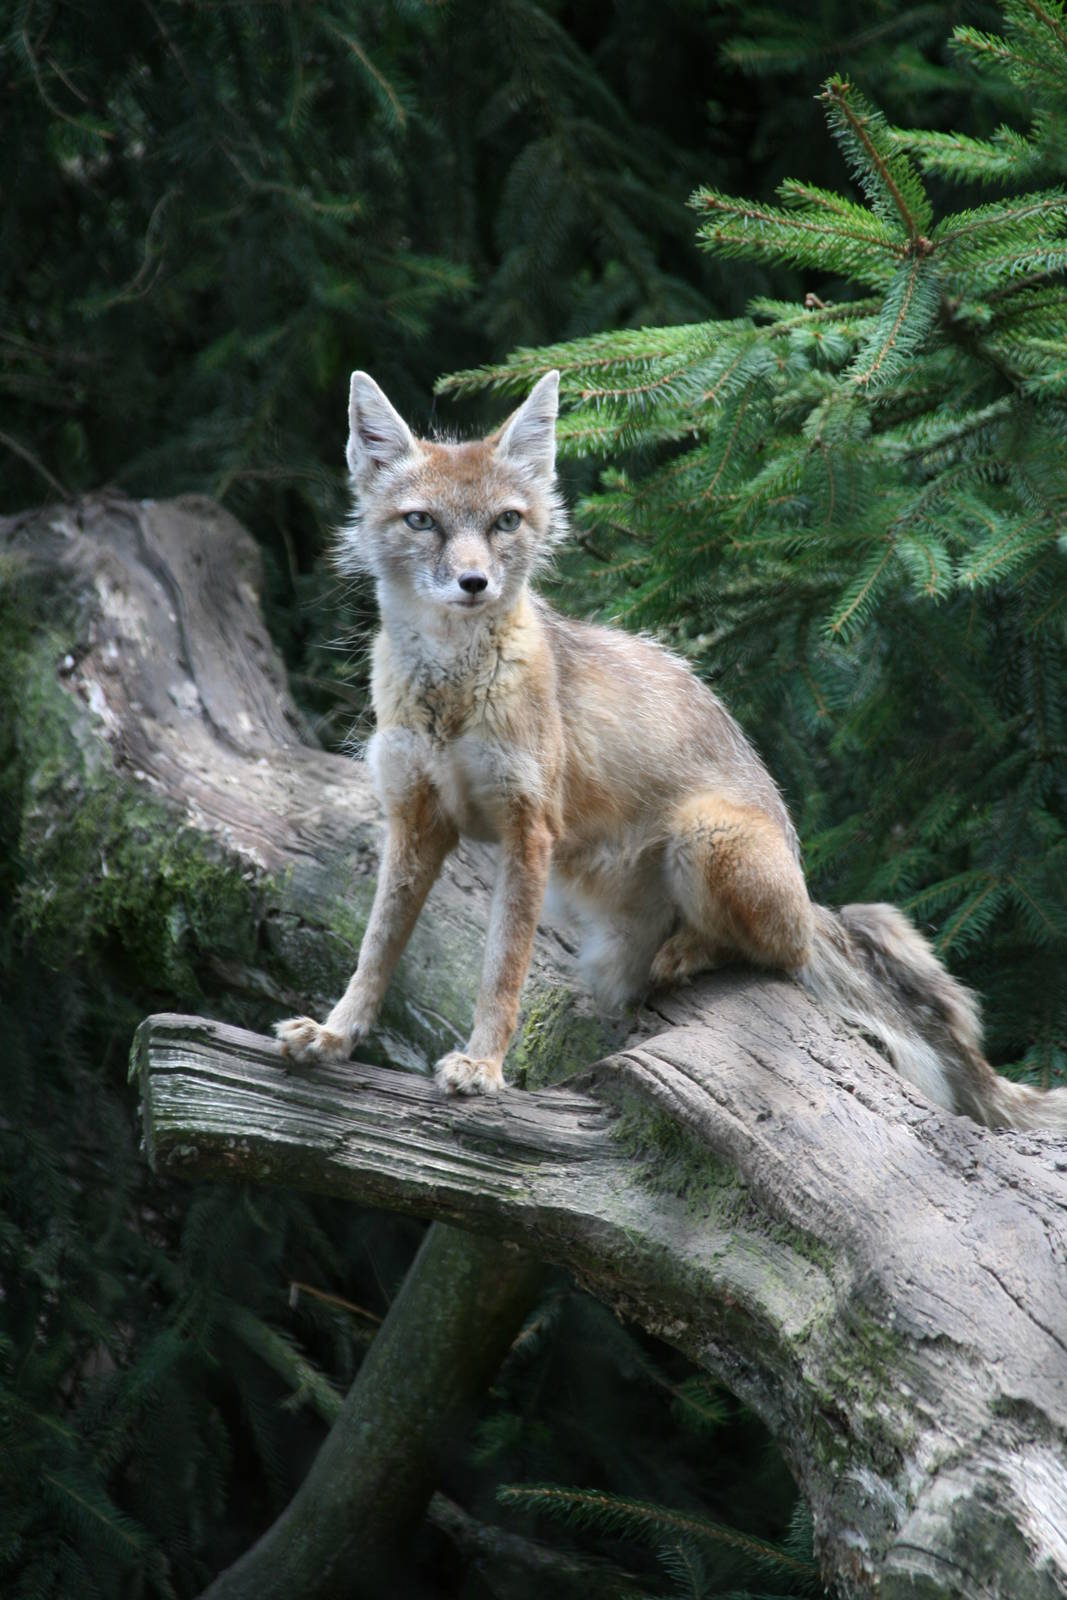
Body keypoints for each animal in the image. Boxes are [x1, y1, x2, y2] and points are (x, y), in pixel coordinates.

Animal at [275, 369, 1067, 1132]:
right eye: (422, 521)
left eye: (505, 521)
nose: (475, 583)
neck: (452, 696)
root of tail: (808, 894)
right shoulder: (415, 820)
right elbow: (375, 949)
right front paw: (337, 1035)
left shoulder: (528, 830)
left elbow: (502, 968)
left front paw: (485, 1067)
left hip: (703, 836)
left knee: (780, 953)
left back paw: (685, 953)